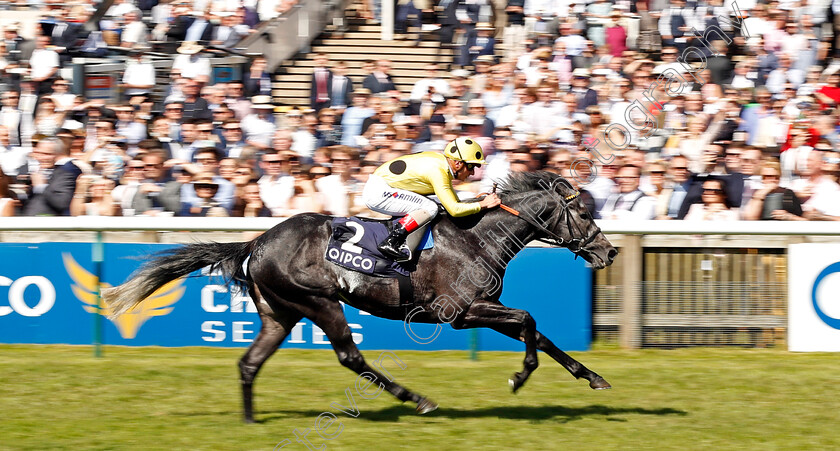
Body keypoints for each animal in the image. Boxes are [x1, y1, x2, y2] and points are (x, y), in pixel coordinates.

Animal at [103, 172, 616, 424]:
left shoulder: (481, 312)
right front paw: (519, 377)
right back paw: (416, 399)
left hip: (279, 315)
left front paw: (593, 377)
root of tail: (258, 242)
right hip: (320, 302)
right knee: (351, 356)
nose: (608, 251)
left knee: (250, 363)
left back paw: (249, 421)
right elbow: (529, 321)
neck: (476, 238)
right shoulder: (461, 313)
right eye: (584, 213)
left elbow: (541, 333)